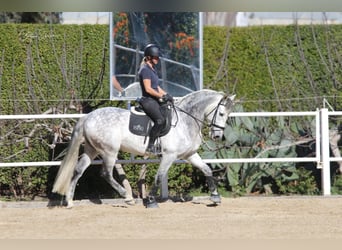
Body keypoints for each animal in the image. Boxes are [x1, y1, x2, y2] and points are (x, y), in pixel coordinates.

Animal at [52, 89, 235, 207]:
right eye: (221, 114)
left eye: (227, 115)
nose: (217, 136)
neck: (185, 120)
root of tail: (88, 116)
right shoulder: (169, 155)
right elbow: (159, 177)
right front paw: (151, 200)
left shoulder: (189, 155)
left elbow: (207, 170)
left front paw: (215, 197)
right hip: (109, 151)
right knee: (105, 174)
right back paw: (127, 197)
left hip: (92, 150)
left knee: (78, 170)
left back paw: (69, 201)